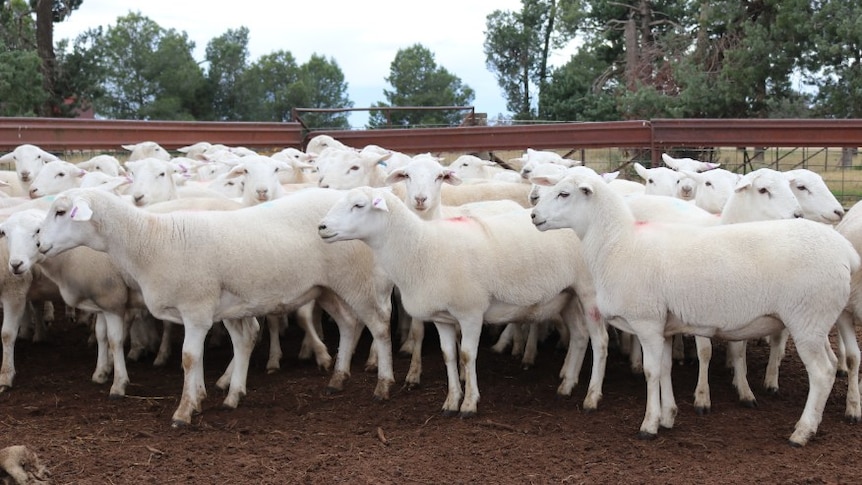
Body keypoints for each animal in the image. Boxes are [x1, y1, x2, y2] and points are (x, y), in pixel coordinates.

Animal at [36, 187, 394, 426]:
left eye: (60, 212)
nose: (38, 243)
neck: (151, 241)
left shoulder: (195, 310)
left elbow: (189, 357)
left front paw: (183, 411)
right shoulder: (211, 310)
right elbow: (204, 355)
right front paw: (204, 398)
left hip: (355, 280)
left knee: (378, 325)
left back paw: (383, 384)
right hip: (327, 287)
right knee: (349, 323)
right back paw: (338, 378)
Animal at [318, 185, 608, 416]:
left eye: (359, 205)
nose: (321, 227)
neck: (421, 249)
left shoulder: (470, 313)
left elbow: (468, 356)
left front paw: (469, 404)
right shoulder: (442, 318)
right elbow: (448, 355)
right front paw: (451, 401)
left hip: (589, 291)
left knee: (600, 341)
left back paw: (591, 397)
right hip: (568, 295)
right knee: (580, 335)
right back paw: (566, 385)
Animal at [528, 168, 860, 444]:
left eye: (564, 194)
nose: (533, 215)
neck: (619, 243)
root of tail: (845, 250)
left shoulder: (647, 323)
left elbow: (651, 372)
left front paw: (649, 424)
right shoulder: (664, 327)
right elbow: (664, 369)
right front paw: (668, 416)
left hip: (808, 318)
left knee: (822, 373)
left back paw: (802, 432)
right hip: (816, 322)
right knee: (832, 364)